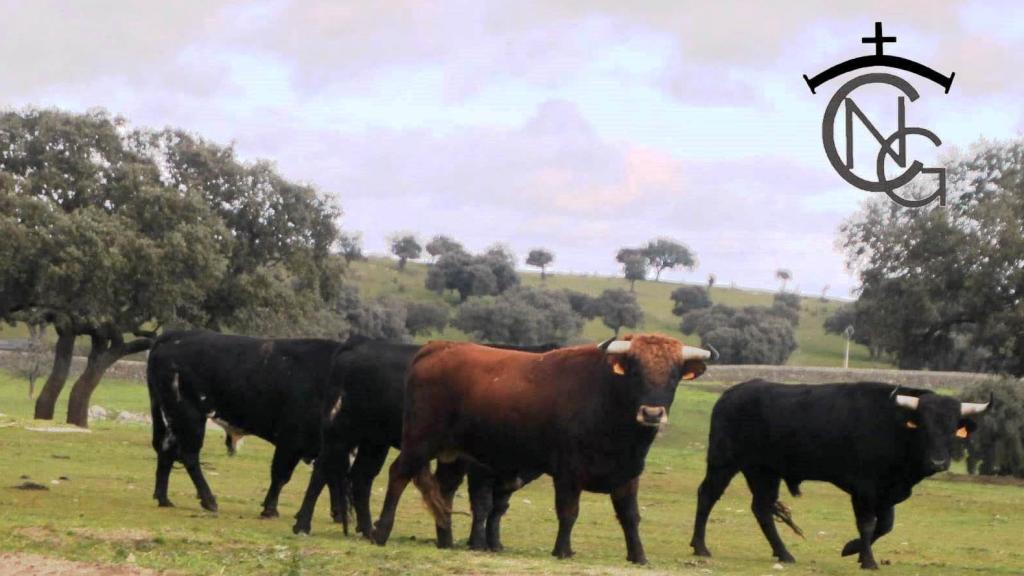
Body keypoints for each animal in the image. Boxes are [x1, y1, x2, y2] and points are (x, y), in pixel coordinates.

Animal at [370, 332, 712, 561]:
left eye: (674, 375)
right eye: (636, 371)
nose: (652, 413)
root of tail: (437, 346)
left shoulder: (628, 473)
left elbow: (630, 515)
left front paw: (638, 556)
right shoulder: (568, 471)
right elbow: (568, 512)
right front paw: (563, 550)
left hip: (452, 455)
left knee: (444, 489)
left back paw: (446, 539)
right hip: (420, 440)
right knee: (398, 475)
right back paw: (381, 531)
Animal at [692, 379, 987, 565]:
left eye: (953, 428)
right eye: (923, 425)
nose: (938, 462)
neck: (893, 425)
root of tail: (731, 394)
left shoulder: (886, 492)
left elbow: (886, 525)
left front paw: (851, 549)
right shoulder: (864, 489)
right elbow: (867, 524)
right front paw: (867, 560)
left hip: (763, 472)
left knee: (762, 509)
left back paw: (784, 554)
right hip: (723, 462)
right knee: (707, 496)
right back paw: (700, 546)